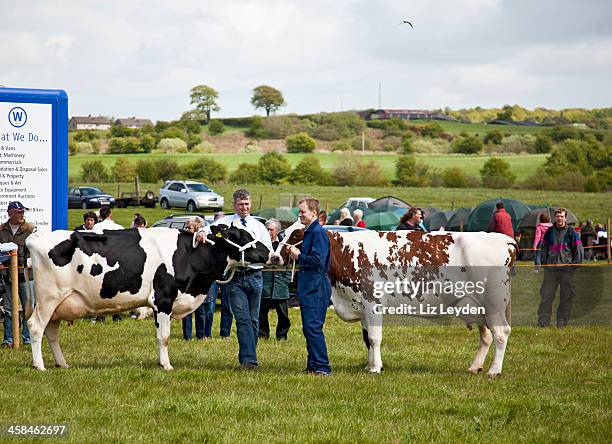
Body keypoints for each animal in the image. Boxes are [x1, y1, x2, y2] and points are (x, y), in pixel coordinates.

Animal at [25, 222, 270, 372]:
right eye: (237, 236)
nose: (268, 252)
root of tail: (36, 238)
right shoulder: (163, 299)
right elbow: (164, 337)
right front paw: (167, 365)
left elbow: (160, 335)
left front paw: (161, 363)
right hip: (48, 298)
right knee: (36, 326)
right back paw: (39, 365)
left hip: (60, 304)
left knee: (52, 332)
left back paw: (62, 363)